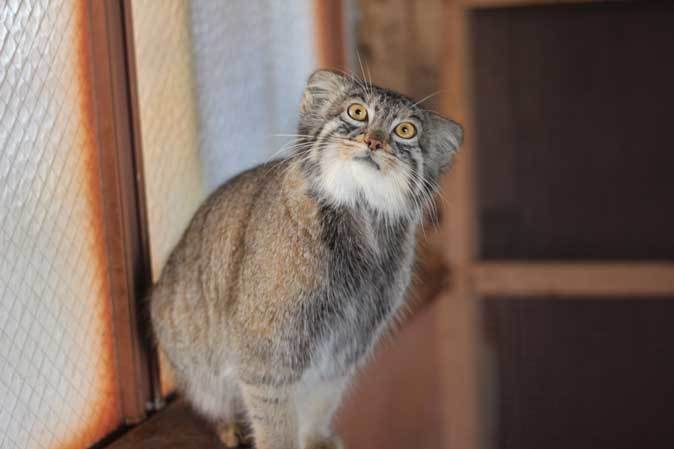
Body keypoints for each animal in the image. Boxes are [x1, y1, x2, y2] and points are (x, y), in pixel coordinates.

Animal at [149, 70, 460, 448]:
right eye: (357, 112)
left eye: (405, 130)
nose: (373, 142)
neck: (360, 223)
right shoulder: (268, 356)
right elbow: (276, 424)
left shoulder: (345, 347)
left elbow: (321, 402)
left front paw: (315, 437)